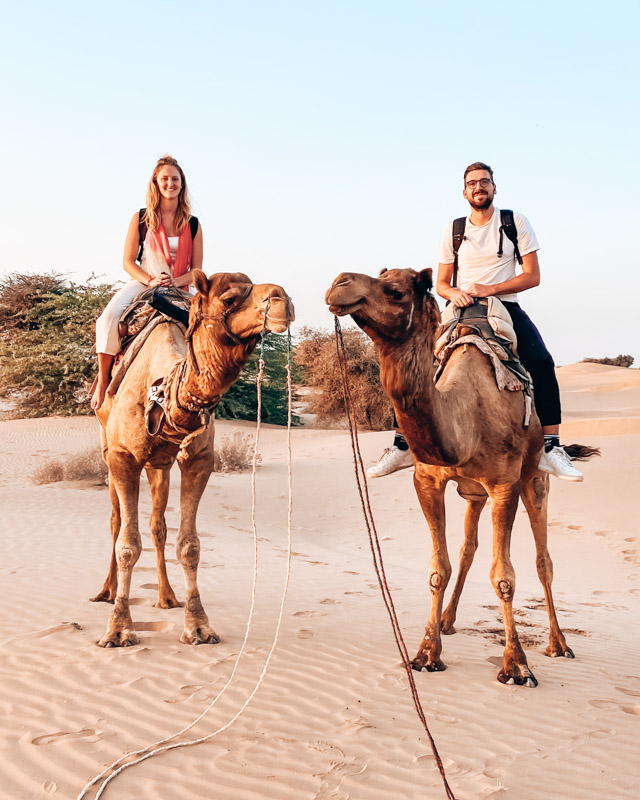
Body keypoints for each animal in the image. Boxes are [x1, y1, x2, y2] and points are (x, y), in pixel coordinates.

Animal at [91, 272, 294, 648]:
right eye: (229, 298)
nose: (281, 299)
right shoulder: (123, 457)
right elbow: (127, 544)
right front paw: (118, 630)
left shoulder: (199, 460)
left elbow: (189, 545)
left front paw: (198, 626)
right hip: (107, 445)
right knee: (115, 520)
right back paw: (106, 592)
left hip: (159, 464)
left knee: (157, 525)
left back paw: (167, 597)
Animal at [330, 268, 596, 688]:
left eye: (396, 291)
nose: (340, 282)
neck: (465, 416)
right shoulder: (428, 480)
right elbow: (439, 568)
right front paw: (426, 653)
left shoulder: (504, 484)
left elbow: (504, 576)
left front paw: (517, 666)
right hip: (474, 494)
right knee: (468, 549)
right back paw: (447, 621)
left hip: (534, 479)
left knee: (543, 560)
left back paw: (559, 644)